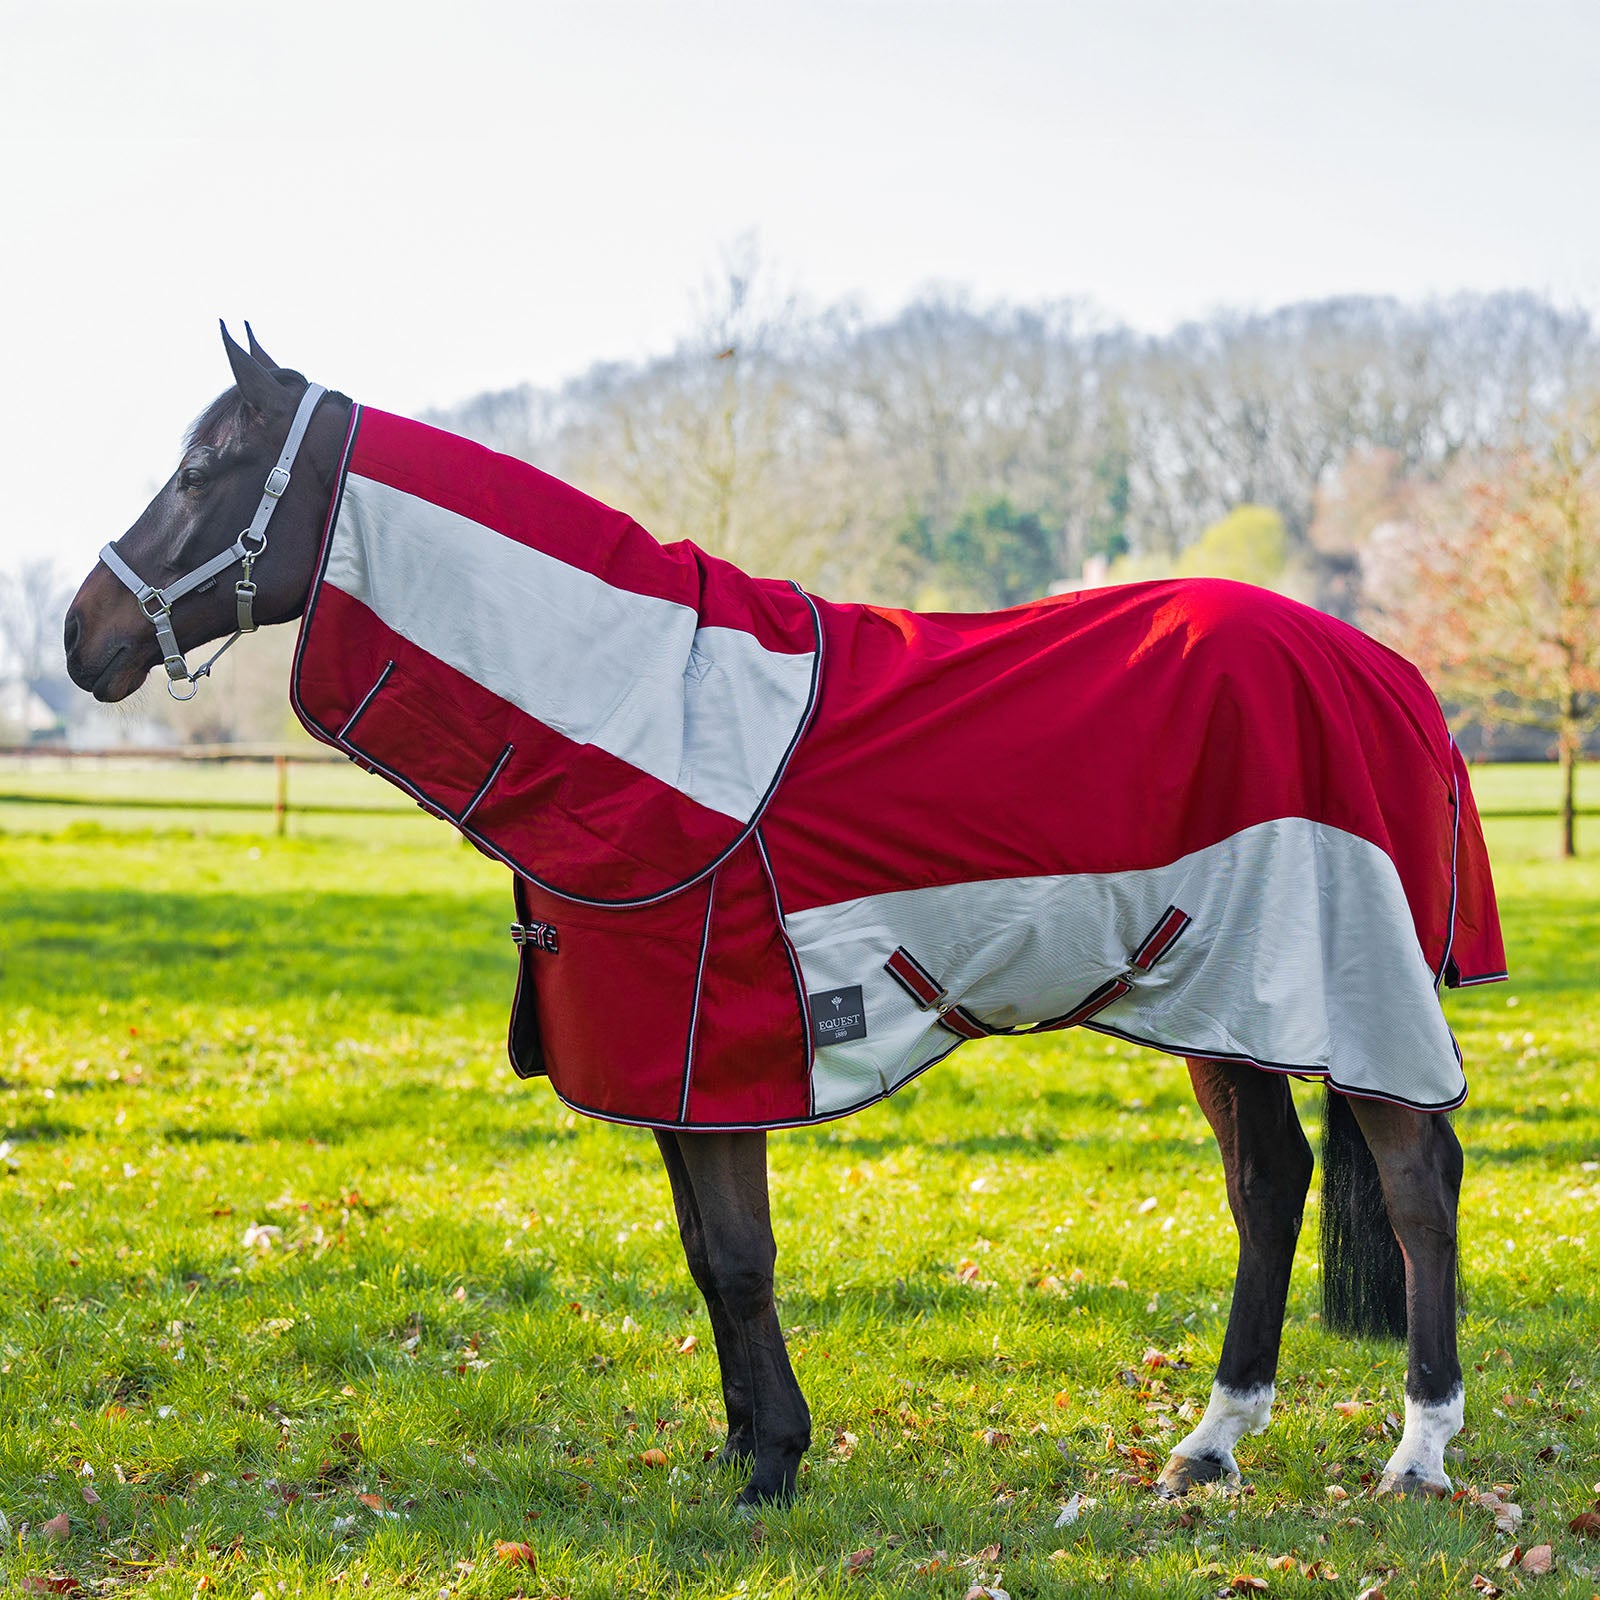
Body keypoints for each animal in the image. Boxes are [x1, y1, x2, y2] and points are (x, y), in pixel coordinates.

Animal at [64, 324, 1504, 1508]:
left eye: (204, 470)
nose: (83, 637)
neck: (656, 714)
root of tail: (1391, 672)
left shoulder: (726, 1057)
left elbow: (744, 1258)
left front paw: (774, 1470)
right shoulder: (663, 1072)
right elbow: (707, 1261)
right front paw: (741, 1447)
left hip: (1355, 988)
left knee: (1417, 1180)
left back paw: (1422, 1451)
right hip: (1222, 998)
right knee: (1270, 1184)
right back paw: (1211, 1442)